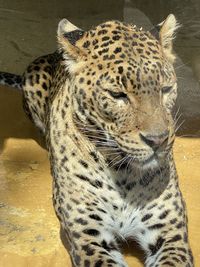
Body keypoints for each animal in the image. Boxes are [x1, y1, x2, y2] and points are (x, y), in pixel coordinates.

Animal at [0, 14, 194, 267]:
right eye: (117, 95)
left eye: (166, 89)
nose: (158, 140)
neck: (123, 174)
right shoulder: (90, 237)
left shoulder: (171, 233)